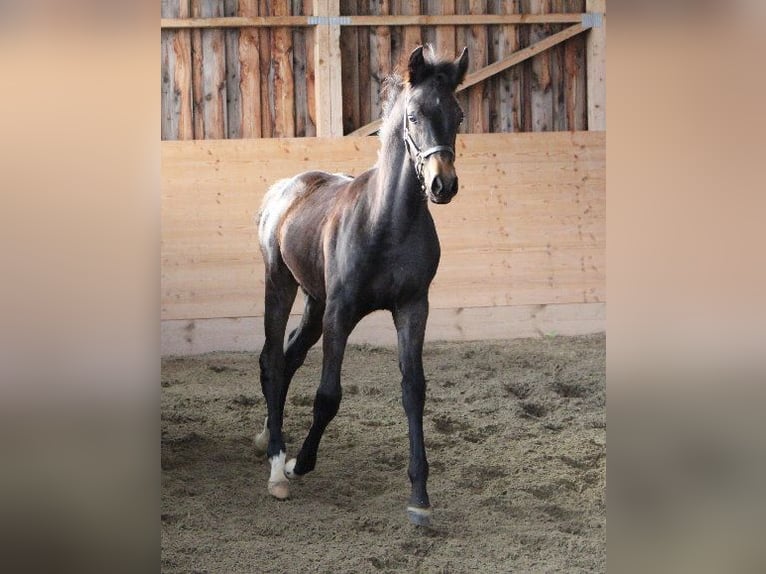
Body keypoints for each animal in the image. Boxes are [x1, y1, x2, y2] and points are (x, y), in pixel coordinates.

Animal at [255, 47, 468, 528]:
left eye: (459, 115)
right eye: (413, 115)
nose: (443, 184)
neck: (386, 223)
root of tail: (283, 190)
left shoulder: (412, 308)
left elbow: (414, 391)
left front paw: (420, 497)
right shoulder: (342, 311)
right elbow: (328, 395)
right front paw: (300, 463)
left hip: (314, 301)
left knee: (288, 356)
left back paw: (266, 436)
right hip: (281, 283)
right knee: (273, 358)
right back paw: (276, 464)